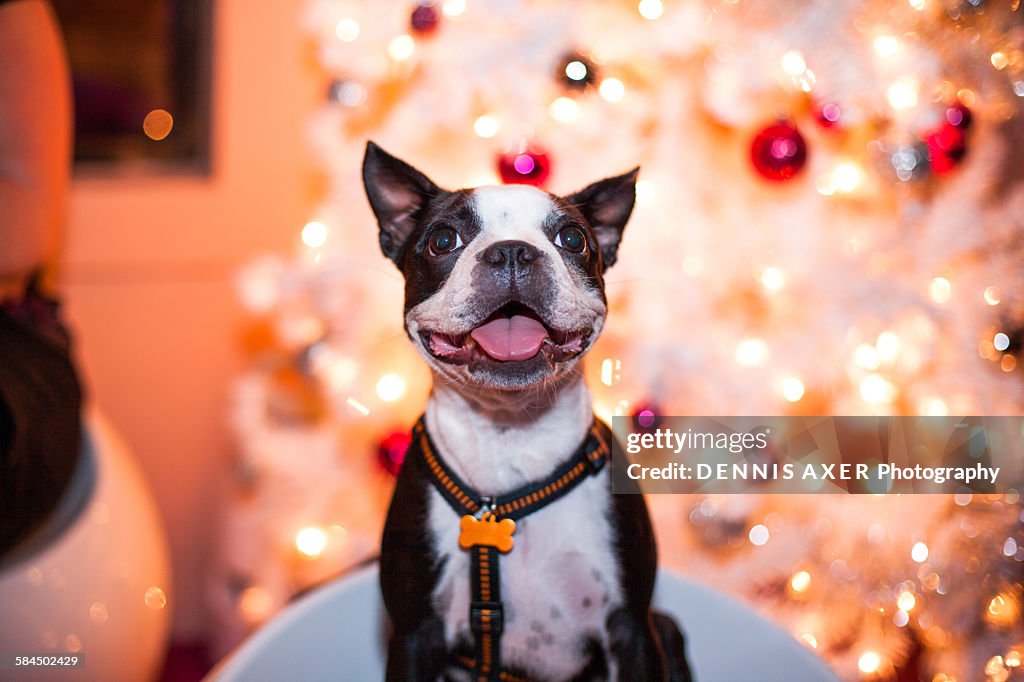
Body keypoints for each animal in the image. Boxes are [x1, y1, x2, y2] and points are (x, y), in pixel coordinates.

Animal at [364, 139, 692, 679]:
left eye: (573, 239)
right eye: (443, 240)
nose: (513, 251)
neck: (511, 432)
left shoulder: (633, 627)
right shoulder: (413, 635)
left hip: (664, 628)